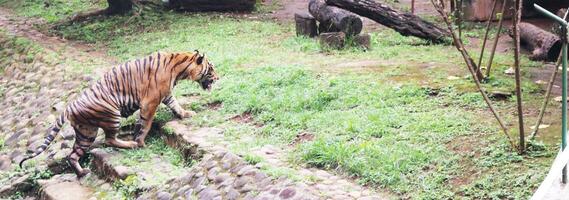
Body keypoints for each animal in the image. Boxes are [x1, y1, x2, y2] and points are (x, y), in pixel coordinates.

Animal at [17, 50, 217, 177]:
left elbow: (175, 105)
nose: (218, 77)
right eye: (211, 69)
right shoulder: (150, 102)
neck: (179, 67)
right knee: (109, 139)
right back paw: (131, 144)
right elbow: (146, 124)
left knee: (72, 154)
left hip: (86, 132)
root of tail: (68, 107)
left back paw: (82, 173)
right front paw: (140, 141)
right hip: (111, 115)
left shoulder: (165, 94)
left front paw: (185, 114)